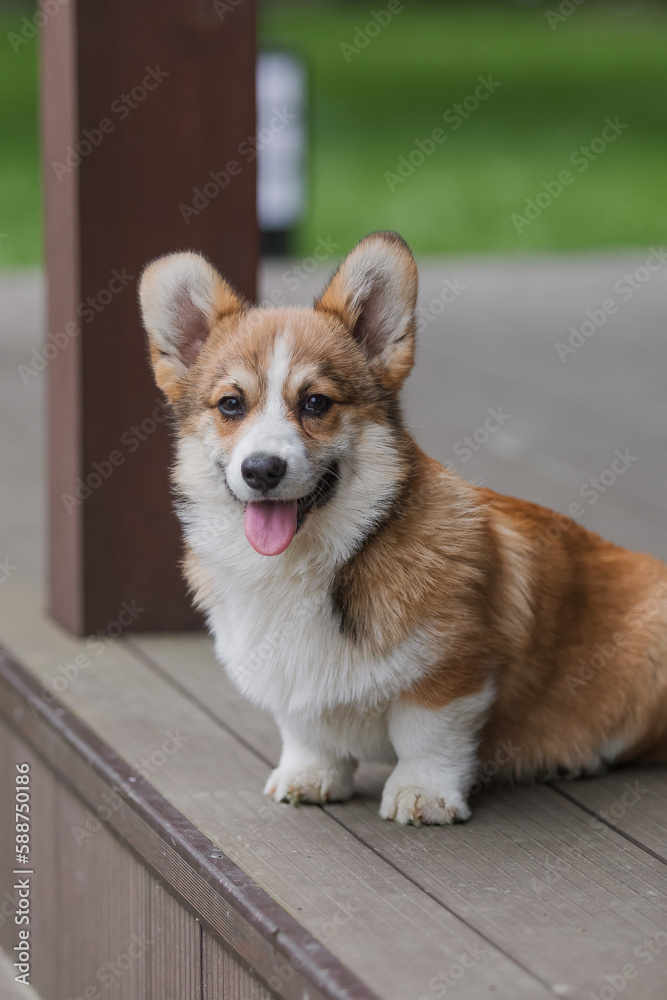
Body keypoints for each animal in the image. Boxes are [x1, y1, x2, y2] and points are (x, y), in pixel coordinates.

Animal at [140, 230, 667, 824]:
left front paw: (423, 794)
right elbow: (305, 731)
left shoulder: (453, 673)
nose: (261, 469)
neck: (311, 563)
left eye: (316, 402)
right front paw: (309, 776)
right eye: (231, 404)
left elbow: (427, 736)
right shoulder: (291, 681)